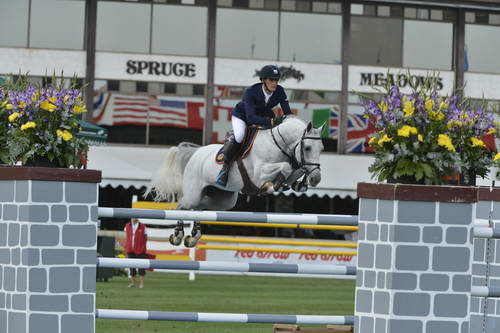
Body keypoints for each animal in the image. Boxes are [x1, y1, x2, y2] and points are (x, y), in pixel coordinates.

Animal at [146, 115, 324, 245]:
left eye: (321, 149)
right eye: (307, 148)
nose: (316, 179)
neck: (278, 144)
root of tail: (196, 153)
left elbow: (294, 170)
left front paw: (298, 184)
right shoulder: (259, 173)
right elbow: (285, 167)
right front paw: (270, 186)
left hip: (223, 200)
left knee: (199, 207)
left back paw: (194, 235)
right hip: (193, 194)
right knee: (182, 206)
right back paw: (178, 235)